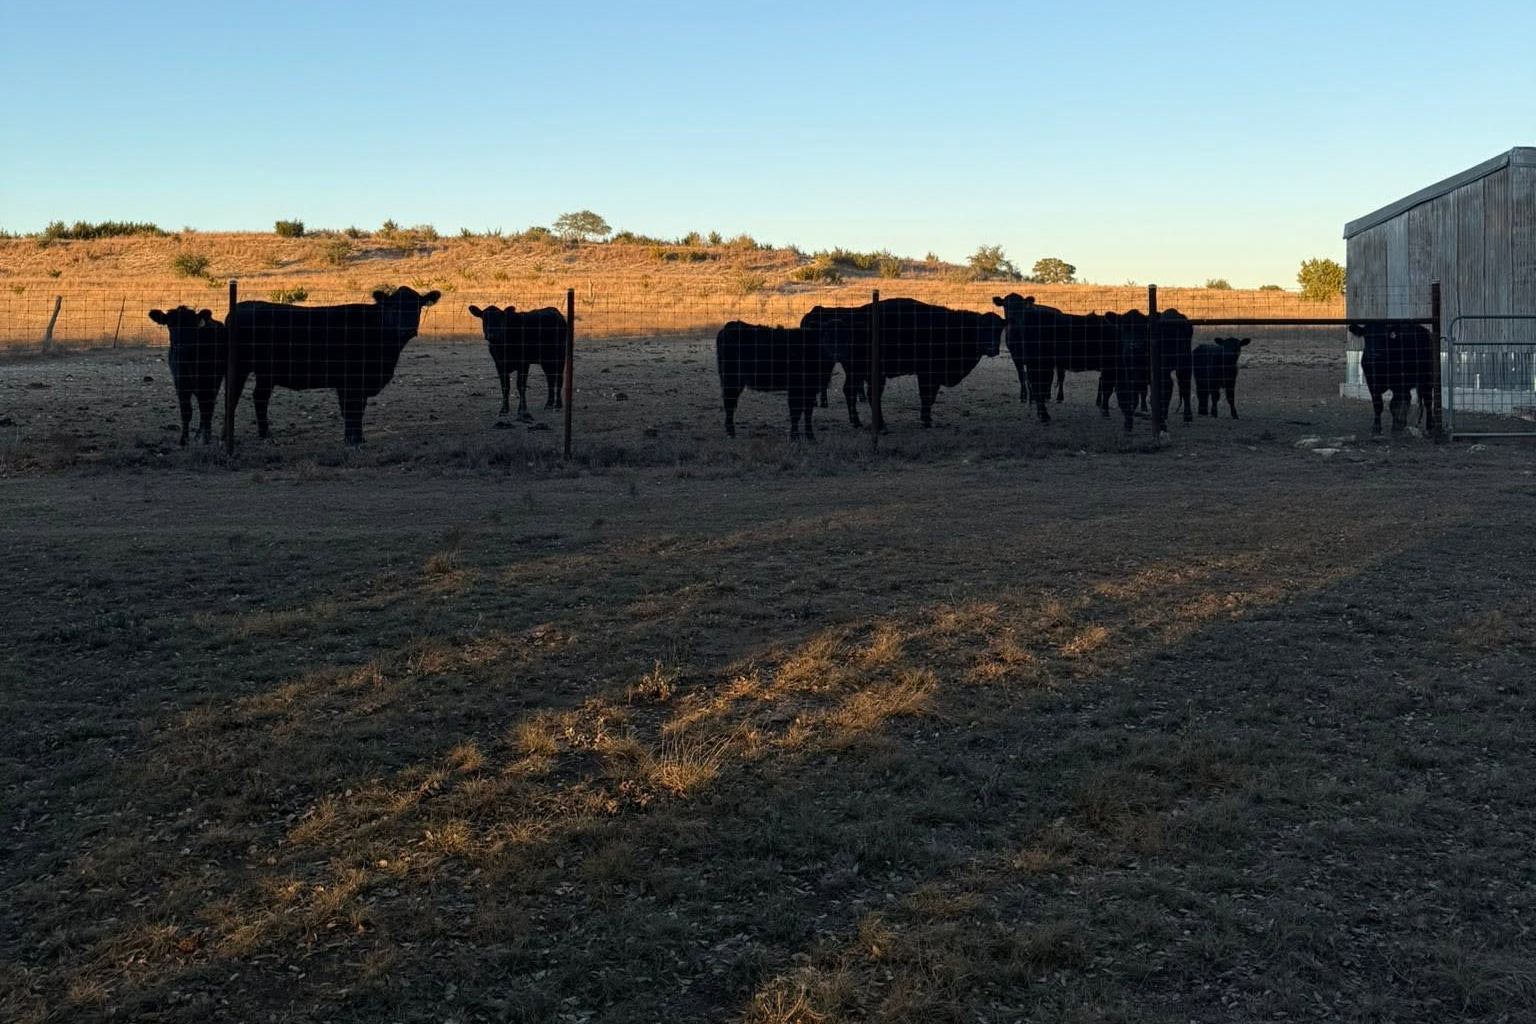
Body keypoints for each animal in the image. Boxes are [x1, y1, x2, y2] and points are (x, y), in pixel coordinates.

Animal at [148, 306, 226, 445]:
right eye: (170, 324)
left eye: (192, 325)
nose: (183, 347)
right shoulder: (180, 383)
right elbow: (186, 411)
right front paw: (184, 439)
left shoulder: (208, 382)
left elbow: (206, 408)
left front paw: (206, 437)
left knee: (207, 407)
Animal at [224, 286, 440, 445]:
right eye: (394, 307)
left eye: (418, 306)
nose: (407, 329)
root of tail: (239, 308)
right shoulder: (350, 381)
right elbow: (351, 410)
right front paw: (353, 441)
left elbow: (358, 410)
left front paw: (358, 438)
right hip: (240, 367)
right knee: (232, 397)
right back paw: (227, 436)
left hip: (266, 373)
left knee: (260, 397)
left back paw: (265, 434)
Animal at [801, 298, 1003, 430]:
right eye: (982, 328)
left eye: (999, 329)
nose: (992, 348)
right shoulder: (926, 374)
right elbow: (926, 397)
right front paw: (926, 421)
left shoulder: (934, 376)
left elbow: (931, 397)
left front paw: (927, 418)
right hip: (861, 371)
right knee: (861, 393)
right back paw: (875, 424)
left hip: (856, 371)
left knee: (850, 391)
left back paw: (858, 422)